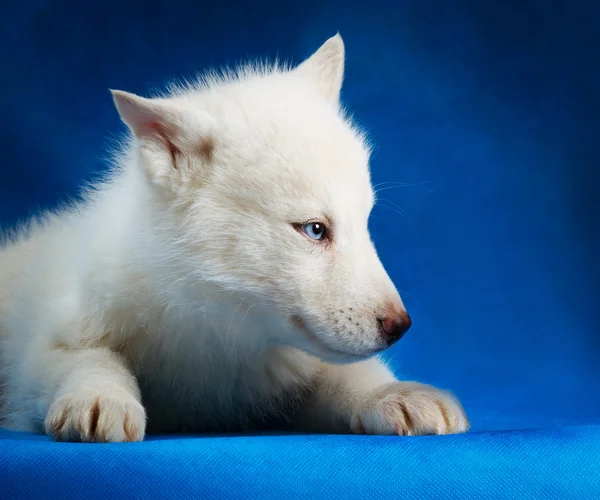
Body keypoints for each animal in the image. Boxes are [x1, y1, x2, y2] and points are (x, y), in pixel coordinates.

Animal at [0, 35, 468, 442]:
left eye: (365, 221)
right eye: (315, 229)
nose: (400, 326)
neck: (220, 327)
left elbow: (346, 372)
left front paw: (394, 392)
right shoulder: (50, 342)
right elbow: (85, 356)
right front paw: (100, 396)